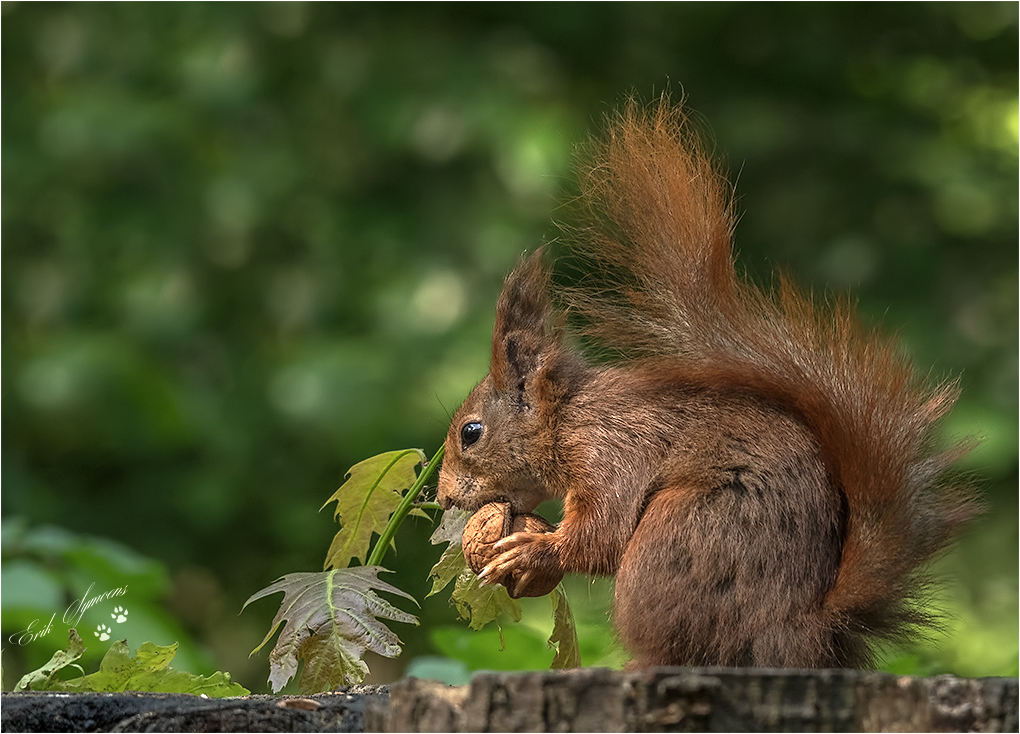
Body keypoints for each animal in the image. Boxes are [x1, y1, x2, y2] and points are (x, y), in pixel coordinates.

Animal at [434, 98, 975, 672]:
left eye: (471, 432)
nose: (442, 499)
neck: (568, 416)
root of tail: (798, 632)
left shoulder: (611, 449)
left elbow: (604, 533)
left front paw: (534, 551)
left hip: (678, 538)